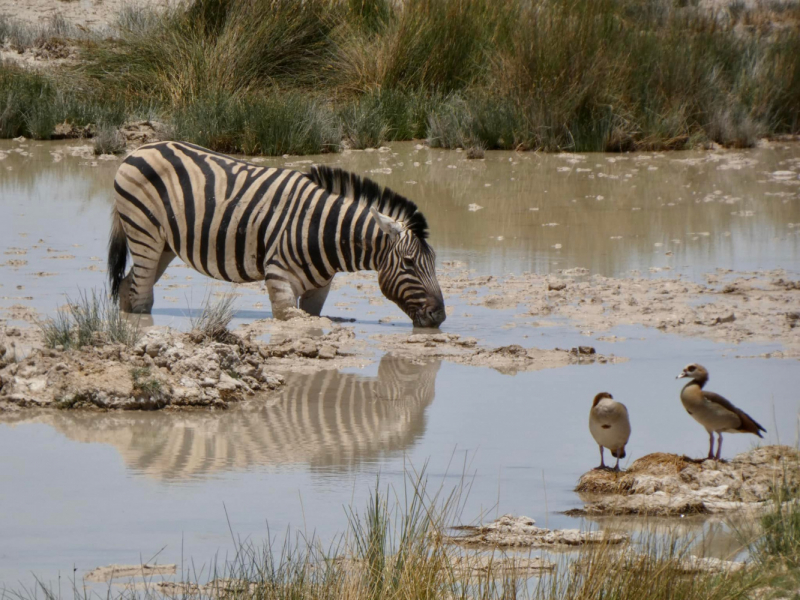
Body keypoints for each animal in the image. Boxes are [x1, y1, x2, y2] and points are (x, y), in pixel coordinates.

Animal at [107, 142, 446, 328]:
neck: (325, 231)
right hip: (144, 231)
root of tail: (139, 149)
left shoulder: (319, 289)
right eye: (408, 263)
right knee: (140, 294)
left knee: (128, 286)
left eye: (434, 263)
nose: (440, 317)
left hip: (164, 243)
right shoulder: (279, 279)